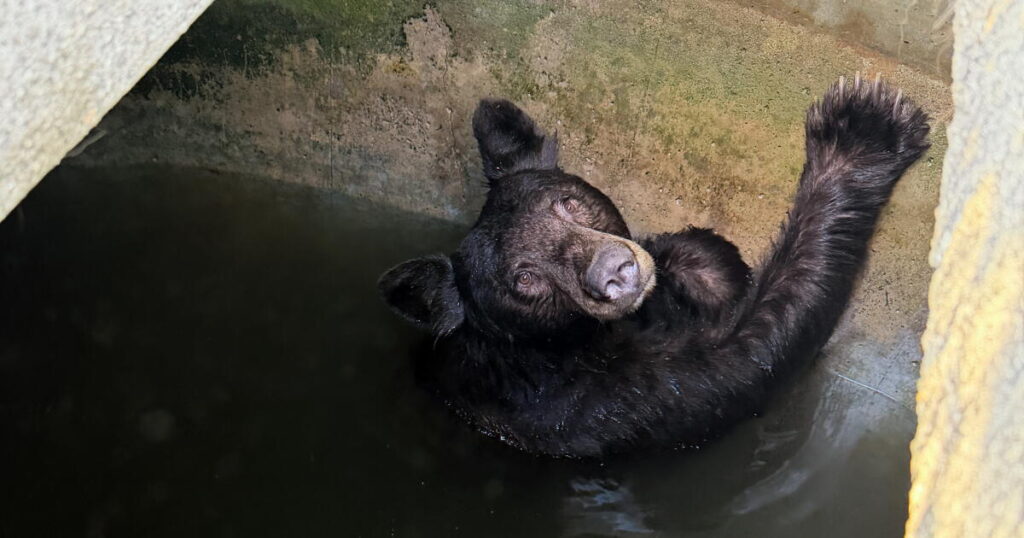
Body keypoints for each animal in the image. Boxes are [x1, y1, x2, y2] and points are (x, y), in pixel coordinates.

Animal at [379, 75, 931, 458]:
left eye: (567, 203)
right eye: (524, 278)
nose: (615, 270)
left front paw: (702, 266)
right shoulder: (604, 400)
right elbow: (753, 351)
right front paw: (860, 128)